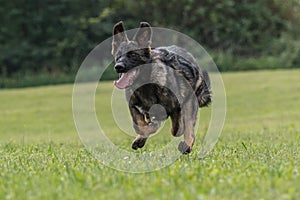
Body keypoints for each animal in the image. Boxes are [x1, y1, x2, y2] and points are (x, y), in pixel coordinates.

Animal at [110, 21, 211, 153]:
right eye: (118, 55)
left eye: (133, 54)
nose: (118, 66)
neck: (144, 85)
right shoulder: (133, 106)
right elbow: (139, 125)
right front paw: (142, 136)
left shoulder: (176, 107)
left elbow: (176, 128)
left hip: (190, 104)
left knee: (189, 128)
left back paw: (186, 145)